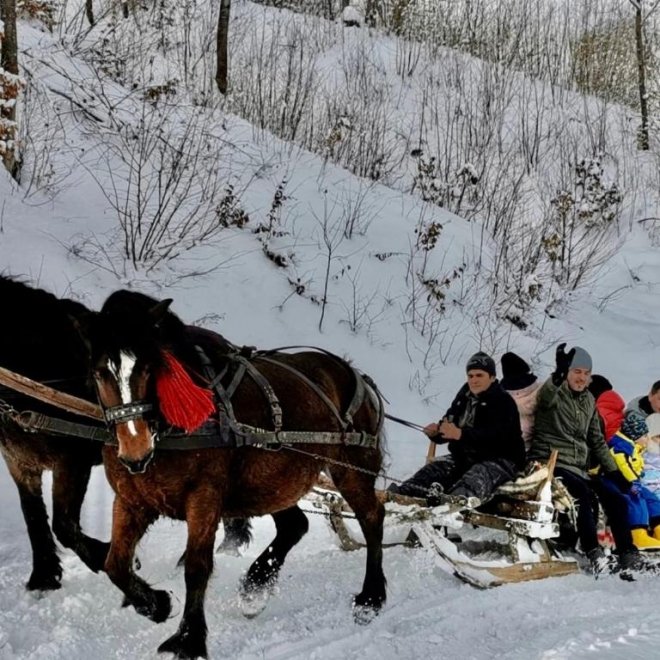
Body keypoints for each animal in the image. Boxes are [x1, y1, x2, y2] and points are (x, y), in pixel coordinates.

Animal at [0, 274, 109, 588]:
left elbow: (64, 525)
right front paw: (44, 575)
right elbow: (34, 517)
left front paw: (105, 557)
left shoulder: (72, 461)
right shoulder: (20, 463)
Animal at [83, 290, 390, 660]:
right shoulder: (131, 500)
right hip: (270, 479)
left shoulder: (204, 497)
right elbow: (115, 563)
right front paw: (156, 604)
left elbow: (197, 568)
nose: (135, 451)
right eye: (99, 373)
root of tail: (353, 372)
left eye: (148, 368)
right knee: (295, 525)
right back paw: (255, 586)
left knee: (372, 516)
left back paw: (371, 596)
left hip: (350, 469)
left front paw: (189, 639)